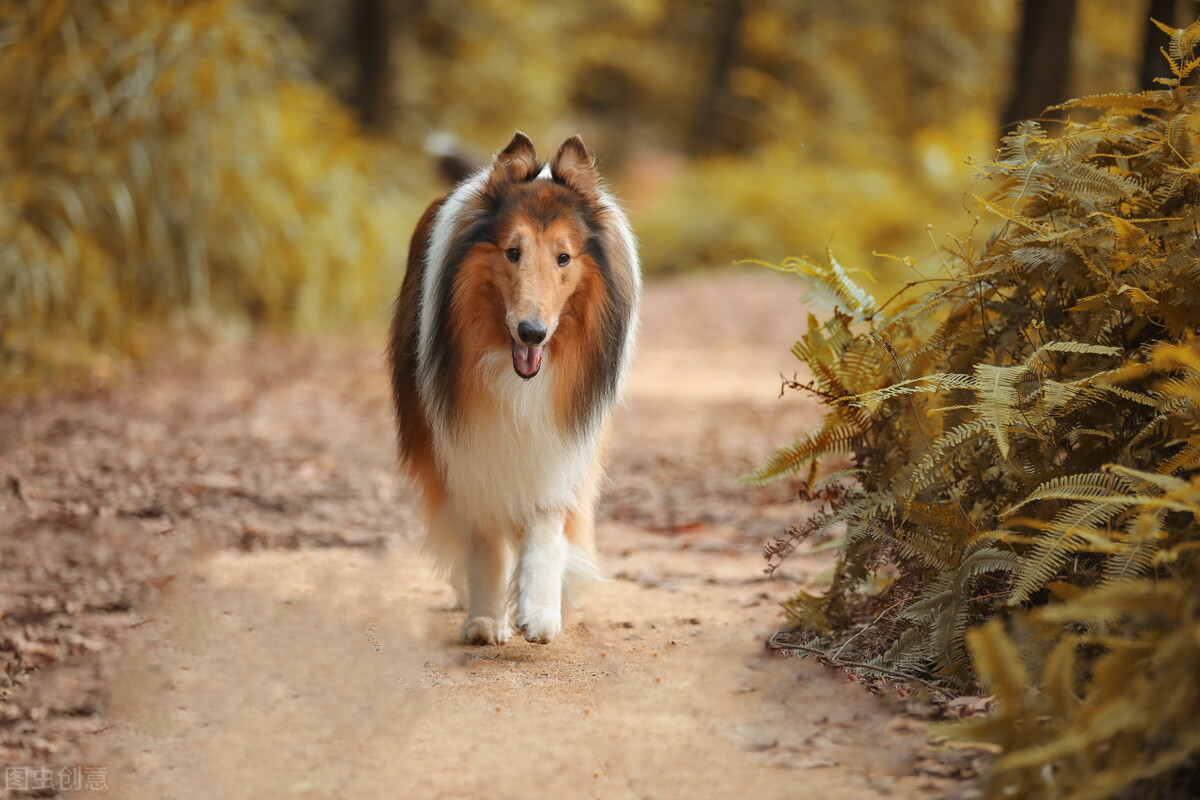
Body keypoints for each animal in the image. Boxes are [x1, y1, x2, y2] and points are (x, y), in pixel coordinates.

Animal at [388, 131, 643, 642]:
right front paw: (485, 618)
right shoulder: (470, 449)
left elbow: (546, 525)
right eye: (512, 252)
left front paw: (540, 609)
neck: (518, 379)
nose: (532, 333)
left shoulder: (559, 446)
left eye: (563, 257)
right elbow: (485, 544)